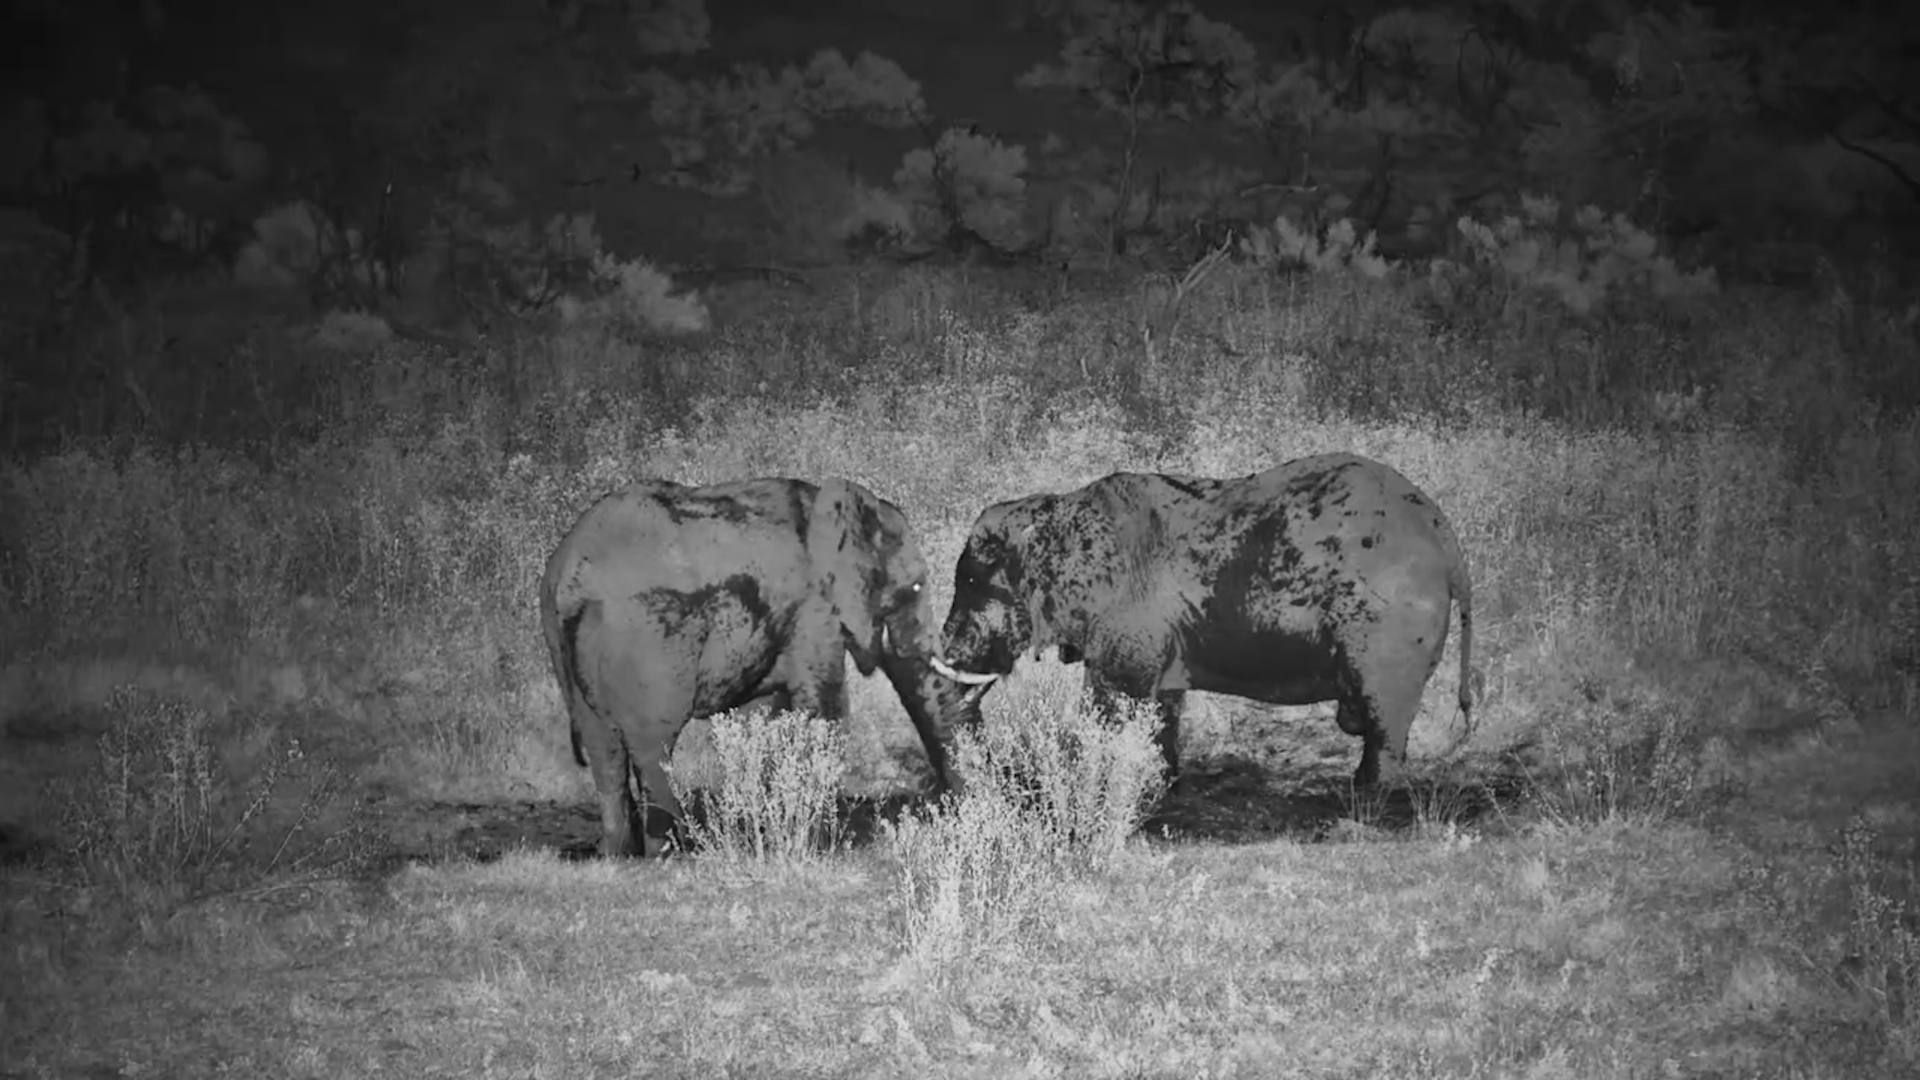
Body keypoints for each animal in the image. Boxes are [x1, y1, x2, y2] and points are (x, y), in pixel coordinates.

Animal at [541, 477, 995, 857]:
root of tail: (571, 578)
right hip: (647, 635)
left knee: (603, 747)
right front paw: (818, 846)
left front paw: (767, 832)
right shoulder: (815, 611)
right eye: (914, 586)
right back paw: (669, 853)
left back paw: (618, 855)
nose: (959, 808)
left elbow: (759, 717)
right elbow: (824, 712)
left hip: (558, 640)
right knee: (653, 744)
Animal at [939, 454, 1475, 788]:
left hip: (1385, 624)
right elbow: (1161, 708)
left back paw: (1363, 807)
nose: (981, 767)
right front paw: (1160, 785)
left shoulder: (1127, 620)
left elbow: (1113, 704)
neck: (1059, 512)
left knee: (1383, 718)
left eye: (974, 585)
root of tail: (1444, 532)